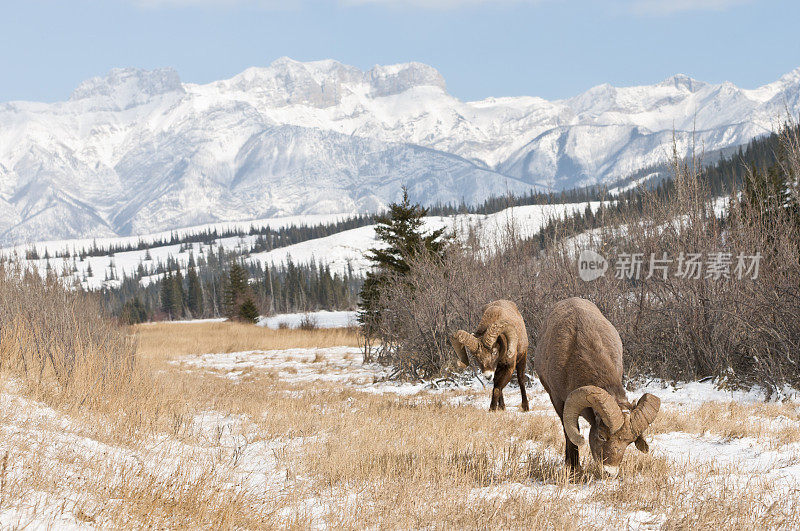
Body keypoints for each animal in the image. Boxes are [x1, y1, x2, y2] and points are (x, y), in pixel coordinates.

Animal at [536, 298, 660, 476]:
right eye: (602, 436)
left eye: (629, 442)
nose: (610, 472)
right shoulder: (558, 401)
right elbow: (569, 433)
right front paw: (573, 467)